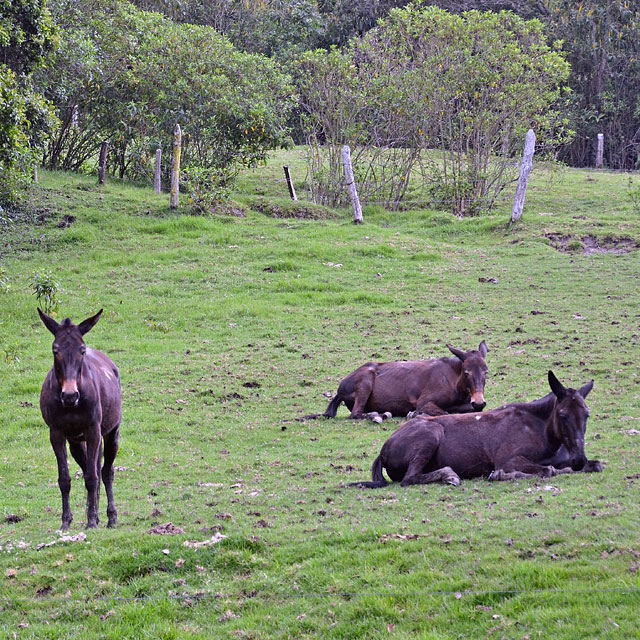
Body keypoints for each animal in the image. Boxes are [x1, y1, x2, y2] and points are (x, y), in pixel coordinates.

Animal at [38, 308, 121, 528]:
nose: (69, 395)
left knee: (106, 472)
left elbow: (93, 477)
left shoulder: (93, 431)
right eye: (55, 350)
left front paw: (91, 522)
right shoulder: (57, 434)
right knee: (90, 468)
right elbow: (64, 479)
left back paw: (111, 517)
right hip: (75, 442)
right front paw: (66, 522)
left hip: (111, 433)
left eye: (82, 350)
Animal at [308, 340, 488, 420]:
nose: (479, 401)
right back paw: (380, 415)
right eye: (466, 372)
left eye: (486, 371)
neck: (456, 384)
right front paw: (413, 413)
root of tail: (339, 391)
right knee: (355, 414)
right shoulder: (424, 401)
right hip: (365, 384)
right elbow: (443, 412)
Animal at [352, 370, 604, 490]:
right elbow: (547, 470)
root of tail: (383, 452)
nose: (579, 459)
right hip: (429, 437)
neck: (545, 434)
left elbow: (595, 465)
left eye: (587, 414)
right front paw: (498, 474)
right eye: (562, 415)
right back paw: (450, 475)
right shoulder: (508, 458)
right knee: (409, 478)